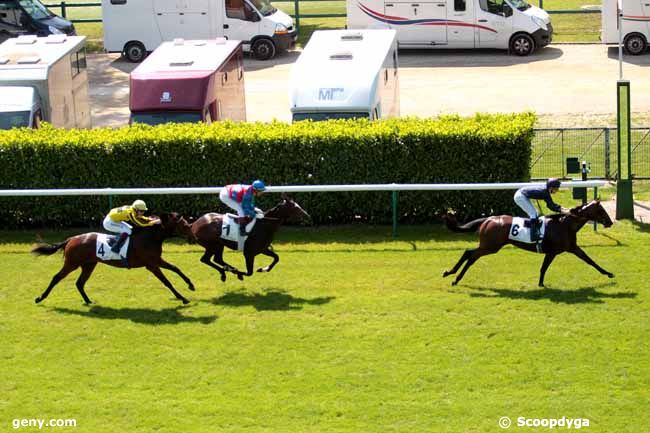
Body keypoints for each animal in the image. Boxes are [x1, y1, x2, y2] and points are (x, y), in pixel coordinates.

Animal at [33, 213, 195, 304]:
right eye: (184, 224)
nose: (193, 237)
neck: (149, 237)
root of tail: (71, 239)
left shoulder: (156, 260)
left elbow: (176, 268)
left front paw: (191, 286)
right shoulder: (151, 265)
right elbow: (167, 281)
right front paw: (183, 298)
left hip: (89, 264)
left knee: (80, 283)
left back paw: (88, 301)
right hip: (72, 263)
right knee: (56, 277)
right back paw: (40, 298)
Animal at [440, 200, 612, 286]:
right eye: (601, 210)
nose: (610, 222)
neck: (565, 224)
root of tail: (488, 218)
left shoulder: (572, 248)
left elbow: (589, 260)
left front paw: (608, 273)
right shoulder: (552, 252)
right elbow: (544, 267)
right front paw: (541, 284)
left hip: (489, 245)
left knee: (468, 253)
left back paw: (451, 274)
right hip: (490, 246)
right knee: (471, 256)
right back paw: (454, 278)